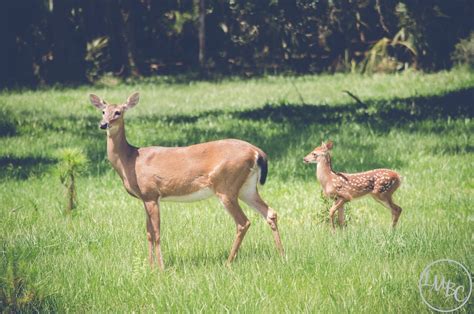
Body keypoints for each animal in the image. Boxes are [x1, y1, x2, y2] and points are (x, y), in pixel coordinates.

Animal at [89, 92, 284, 268]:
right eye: (103, 111)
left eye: (118, 112)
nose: (103, 124)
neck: (130, 160)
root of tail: (257, 152)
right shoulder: (145, 198)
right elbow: (148, 233)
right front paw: (149, 267)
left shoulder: (151, 193)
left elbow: (157, 233)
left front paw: (161, 268)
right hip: (247, 187)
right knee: (270, 212)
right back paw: (282, 255)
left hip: (225, 185)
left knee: (243, 222)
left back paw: (228, 263)